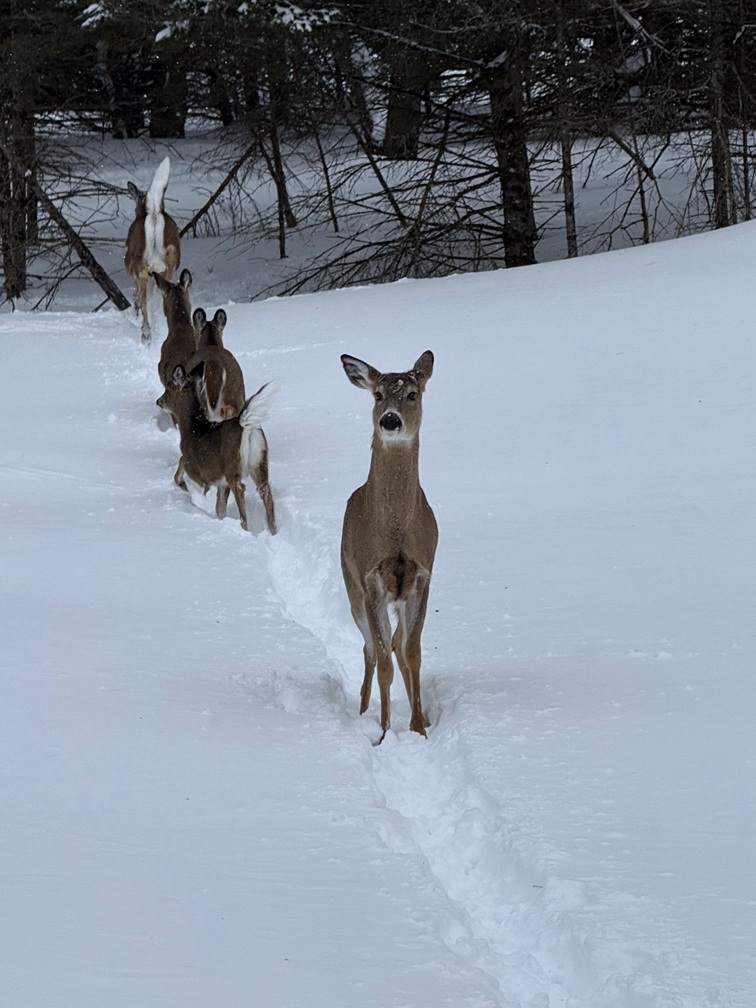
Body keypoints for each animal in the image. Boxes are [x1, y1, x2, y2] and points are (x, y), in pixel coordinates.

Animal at [124, 156, 181, 344]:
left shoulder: (132, 268)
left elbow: (136, 295)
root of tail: (154, 213)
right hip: (171, 258)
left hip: (138, 262)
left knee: (144, 303)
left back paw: (146, 333)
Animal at [156, 364, 277, 535]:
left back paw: (245, 528)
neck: (192, 429)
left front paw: (185, 487)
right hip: (259, 461)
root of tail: (246, 424)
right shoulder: (222, 482)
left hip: (232, 464)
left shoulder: (196, 468)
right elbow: (220, 507)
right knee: (265, 490)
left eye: (168, 389)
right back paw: (273, 530)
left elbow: (182, 461)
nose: (159, 401)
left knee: (240, 489)